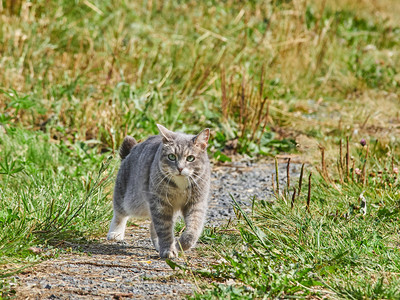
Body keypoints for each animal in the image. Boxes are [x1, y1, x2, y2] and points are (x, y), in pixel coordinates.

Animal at [108, 124, 211, 258]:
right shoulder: (160, 204)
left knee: (152, 225)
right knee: (120, 213)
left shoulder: (196, 203)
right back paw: (115, 233)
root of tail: (132, 150)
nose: (180, 168)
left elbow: (193, 229)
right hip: (129, 199)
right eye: (171, 156)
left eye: (190, 158)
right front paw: (168, 249)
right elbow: (164, 229)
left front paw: (181, 245)